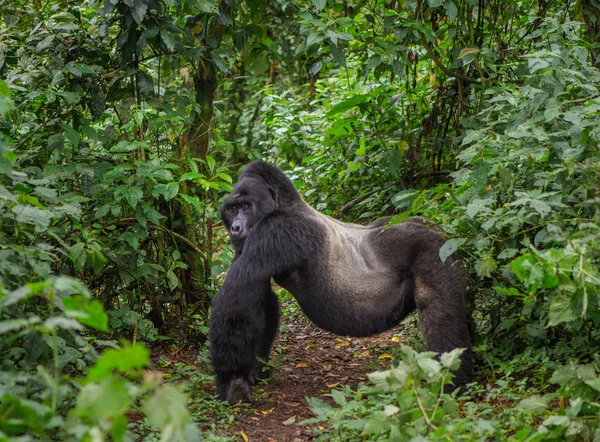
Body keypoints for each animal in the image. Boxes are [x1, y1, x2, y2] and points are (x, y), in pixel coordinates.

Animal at [209, 161, 472, 402]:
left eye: (245, 207)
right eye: (231, 209)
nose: (234, 228)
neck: (287, 203)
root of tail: (440, 232)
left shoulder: (277, 228)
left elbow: (239, 297)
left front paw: (232, 380)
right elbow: (262, 301)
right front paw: (251, 371)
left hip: (434, 249)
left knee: (439, 309)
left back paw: (451, 382)